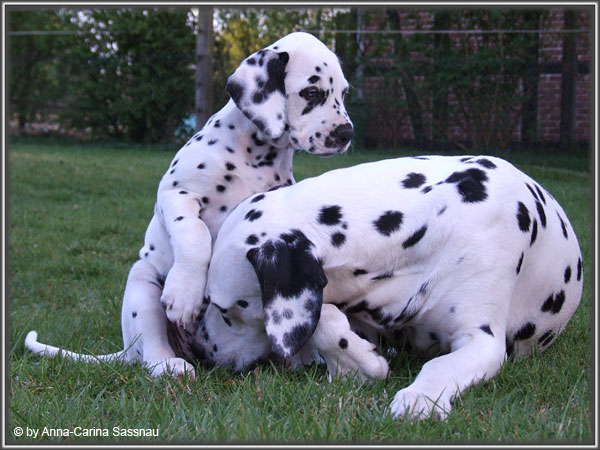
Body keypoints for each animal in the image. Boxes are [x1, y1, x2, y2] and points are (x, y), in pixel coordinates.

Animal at [25, 31, 354, 377]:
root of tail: (127, 352)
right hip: (142, 286)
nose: (347, 133)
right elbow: (194, 235)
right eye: (312, 92)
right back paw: (168, 364)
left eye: (344, 93)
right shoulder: (177, 194)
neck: (252, 155)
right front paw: (185, 293)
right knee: (151, 348)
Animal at [179, 154, 583, 419]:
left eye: (223, 308)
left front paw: (420, 396)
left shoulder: (481, 340)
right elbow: (324, 318)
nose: (198, 348)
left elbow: (440, 365)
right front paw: (357, 363)